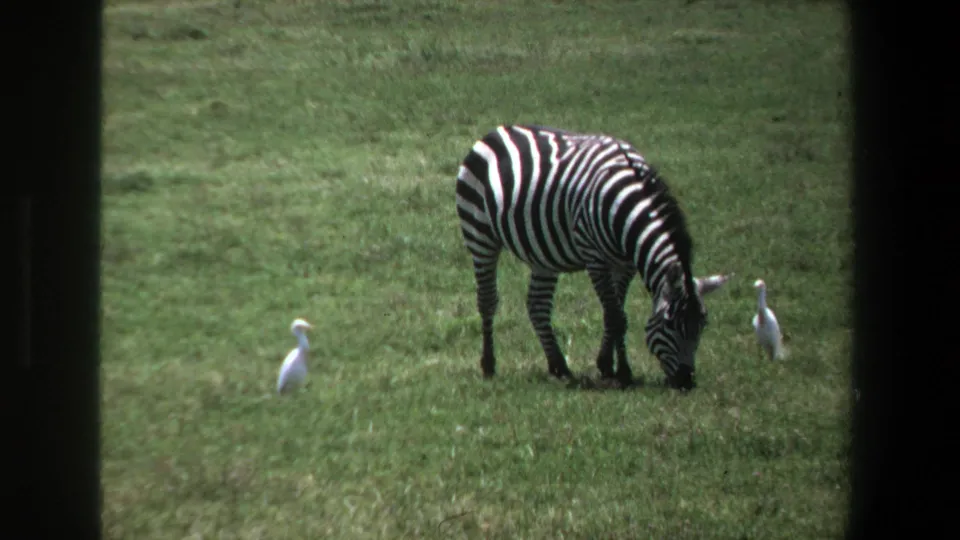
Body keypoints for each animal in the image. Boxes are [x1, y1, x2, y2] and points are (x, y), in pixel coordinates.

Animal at [455, 124, 729, 390]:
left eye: (703, 325)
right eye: (670, 324)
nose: (686, 382)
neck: (625, 209)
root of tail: (498, 131)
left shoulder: (625, 264)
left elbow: (616, 313)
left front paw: (611, 366)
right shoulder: (595, 259)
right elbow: (616, 317)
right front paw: (620, 371)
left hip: (542, 255)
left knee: (538, 305)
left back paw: (558, 366)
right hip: (480, 235)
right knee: (487, 300)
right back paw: (489, 365)